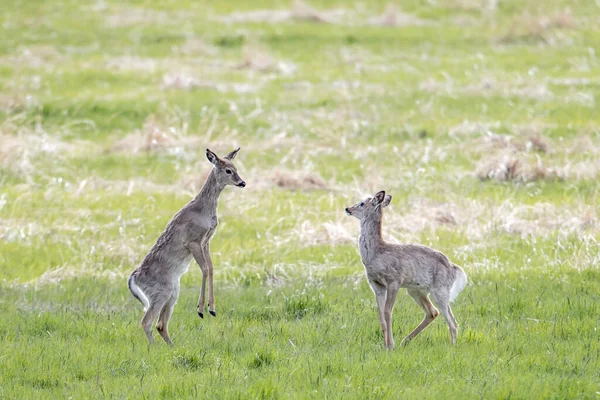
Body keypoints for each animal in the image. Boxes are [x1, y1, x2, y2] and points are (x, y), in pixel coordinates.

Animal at [129, 147, 246, 344]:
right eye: (228, 170)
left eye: (235, 167)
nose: (242, 182)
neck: (203, 211)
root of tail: (133, 278)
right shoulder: (192, 241)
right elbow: (205, 269)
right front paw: (201, 309)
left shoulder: (206, 241)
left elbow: (211, 268)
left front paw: (212, 308)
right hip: (161, 291)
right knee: (146, 321)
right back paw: (154, 347)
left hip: (173, 291)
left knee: (160, 324)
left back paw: (171, 346)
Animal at [344, 189, 466, 348]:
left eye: (362, 203)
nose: (347, 209)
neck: (376, 253)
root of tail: (453, 268)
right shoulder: (376, 285)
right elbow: (381, 316)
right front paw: (385, 346)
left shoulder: (394, 281)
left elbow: (388, 312)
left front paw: (390, 345)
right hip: (416, 290)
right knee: (433, 312)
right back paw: (405, 341)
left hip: (440, 290)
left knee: (452, 322)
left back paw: (451, 347)